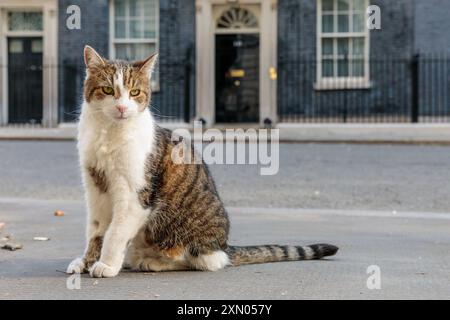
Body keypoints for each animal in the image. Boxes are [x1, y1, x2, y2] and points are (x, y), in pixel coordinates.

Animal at [65, 45, 336, 278]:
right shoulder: (95, 187)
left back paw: (152, 261)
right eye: (108, 90)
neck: (108, 133)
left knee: (205, 261)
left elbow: (115, 232)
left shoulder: (134, 195)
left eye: (134, 93)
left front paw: (107, 264)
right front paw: (87, 262)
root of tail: (224, 245)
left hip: (186, 235)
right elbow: (96, 230)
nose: (122, 108)